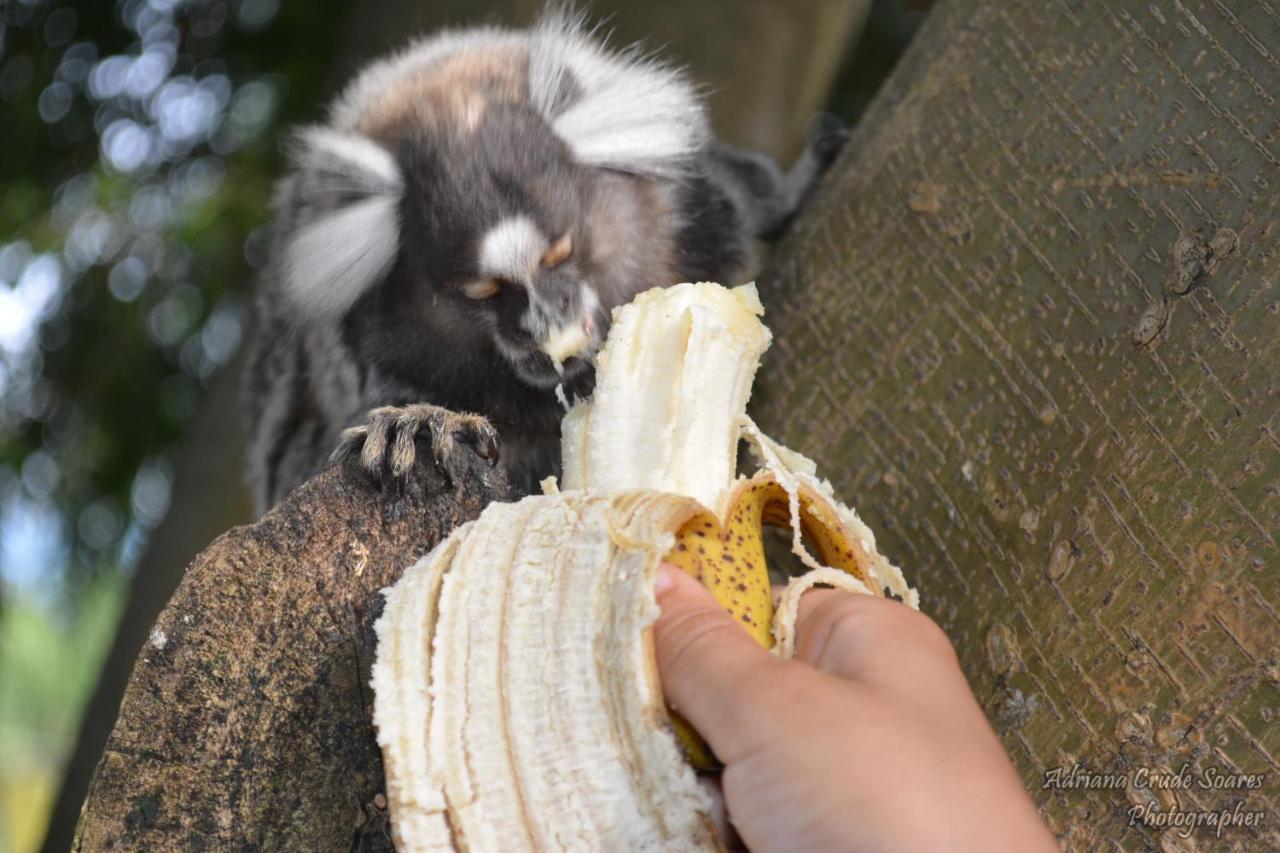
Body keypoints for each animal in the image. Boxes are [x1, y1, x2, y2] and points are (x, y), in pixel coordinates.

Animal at [240, 9, 844, 512]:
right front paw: (424, 423)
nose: (545, 325)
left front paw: (791, 191)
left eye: (560, 252)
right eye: (484, 293)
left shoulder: (695, 213)